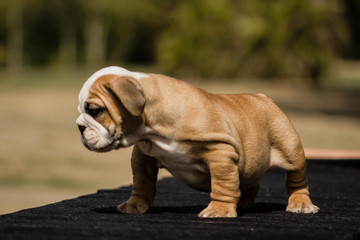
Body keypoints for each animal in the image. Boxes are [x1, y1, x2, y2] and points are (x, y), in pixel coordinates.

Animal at [76, 66, 318, 218]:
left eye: (95, 111)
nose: (79, 126)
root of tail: (264, 97)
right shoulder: (143, 156)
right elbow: (142, 183)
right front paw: (136, 205)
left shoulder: (220, 153)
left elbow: (222, 184)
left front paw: (219, 210)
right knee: (249, 182)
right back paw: (242, 203)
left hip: (291, 149)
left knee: (296, 180)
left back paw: (300, 204)